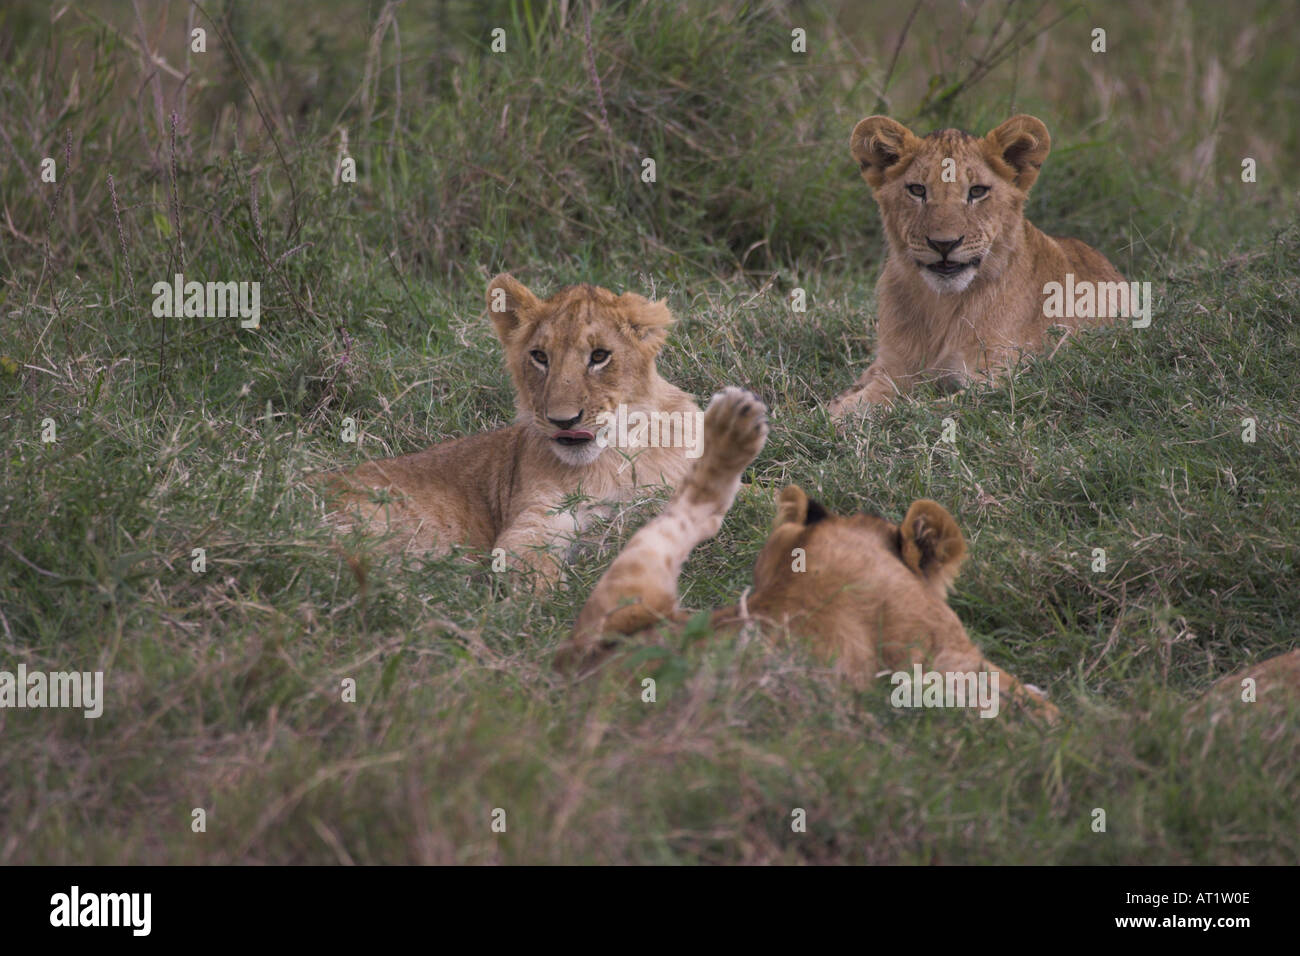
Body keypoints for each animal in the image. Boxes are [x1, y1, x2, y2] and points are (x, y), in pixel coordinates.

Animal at [319, 274, 702, 587]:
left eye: (599, 356)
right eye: (540, 357)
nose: (563, 420)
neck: (619, 455)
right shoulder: (533, 523)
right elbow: (534, 573)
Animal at [557, 388, 1060, 723]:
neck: (811, 579)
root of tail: (584, 680)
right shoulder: (952, 657)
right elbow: (1040, 711)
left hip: (623, 597)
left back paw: (730, 427)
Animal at [829, 114, 1128, 418]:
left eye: (977, 191)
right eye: (917, 190)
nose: (944, 244)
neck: (940, 306)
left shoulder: (1005, 380)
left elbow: (920, 409)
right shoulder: (892, 369)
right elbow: (860, 399)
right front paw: (839, 413)